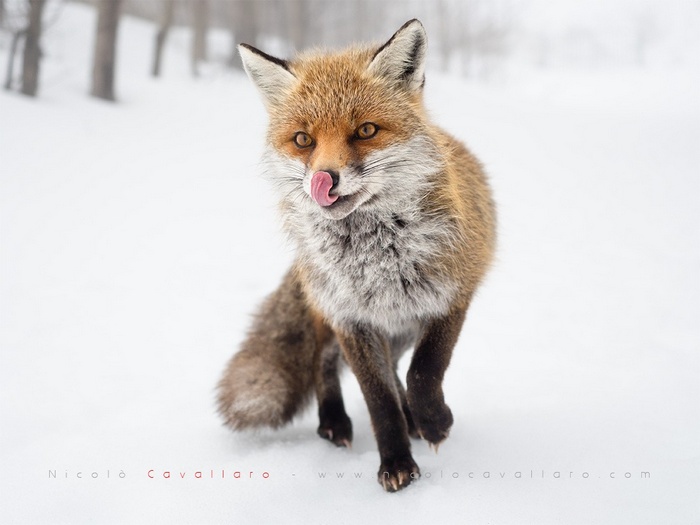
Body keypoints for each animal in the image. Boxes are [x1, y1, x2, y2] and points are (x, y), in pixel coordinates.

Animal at [217, 19, 496, 492]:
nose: (324, 179)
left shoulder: (452, 293)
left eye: (365, 130)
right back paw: (334, 421)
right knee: (323, 361)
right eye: (303, 140)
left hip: (402, 327)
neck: (375, 258)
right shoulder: (351, 318)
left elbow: (424, 373)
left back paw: (414, 418)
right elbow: (378, 398)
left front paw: (433, 422)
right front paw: (396, 463)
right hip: (338, 319)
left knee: (400, 368)